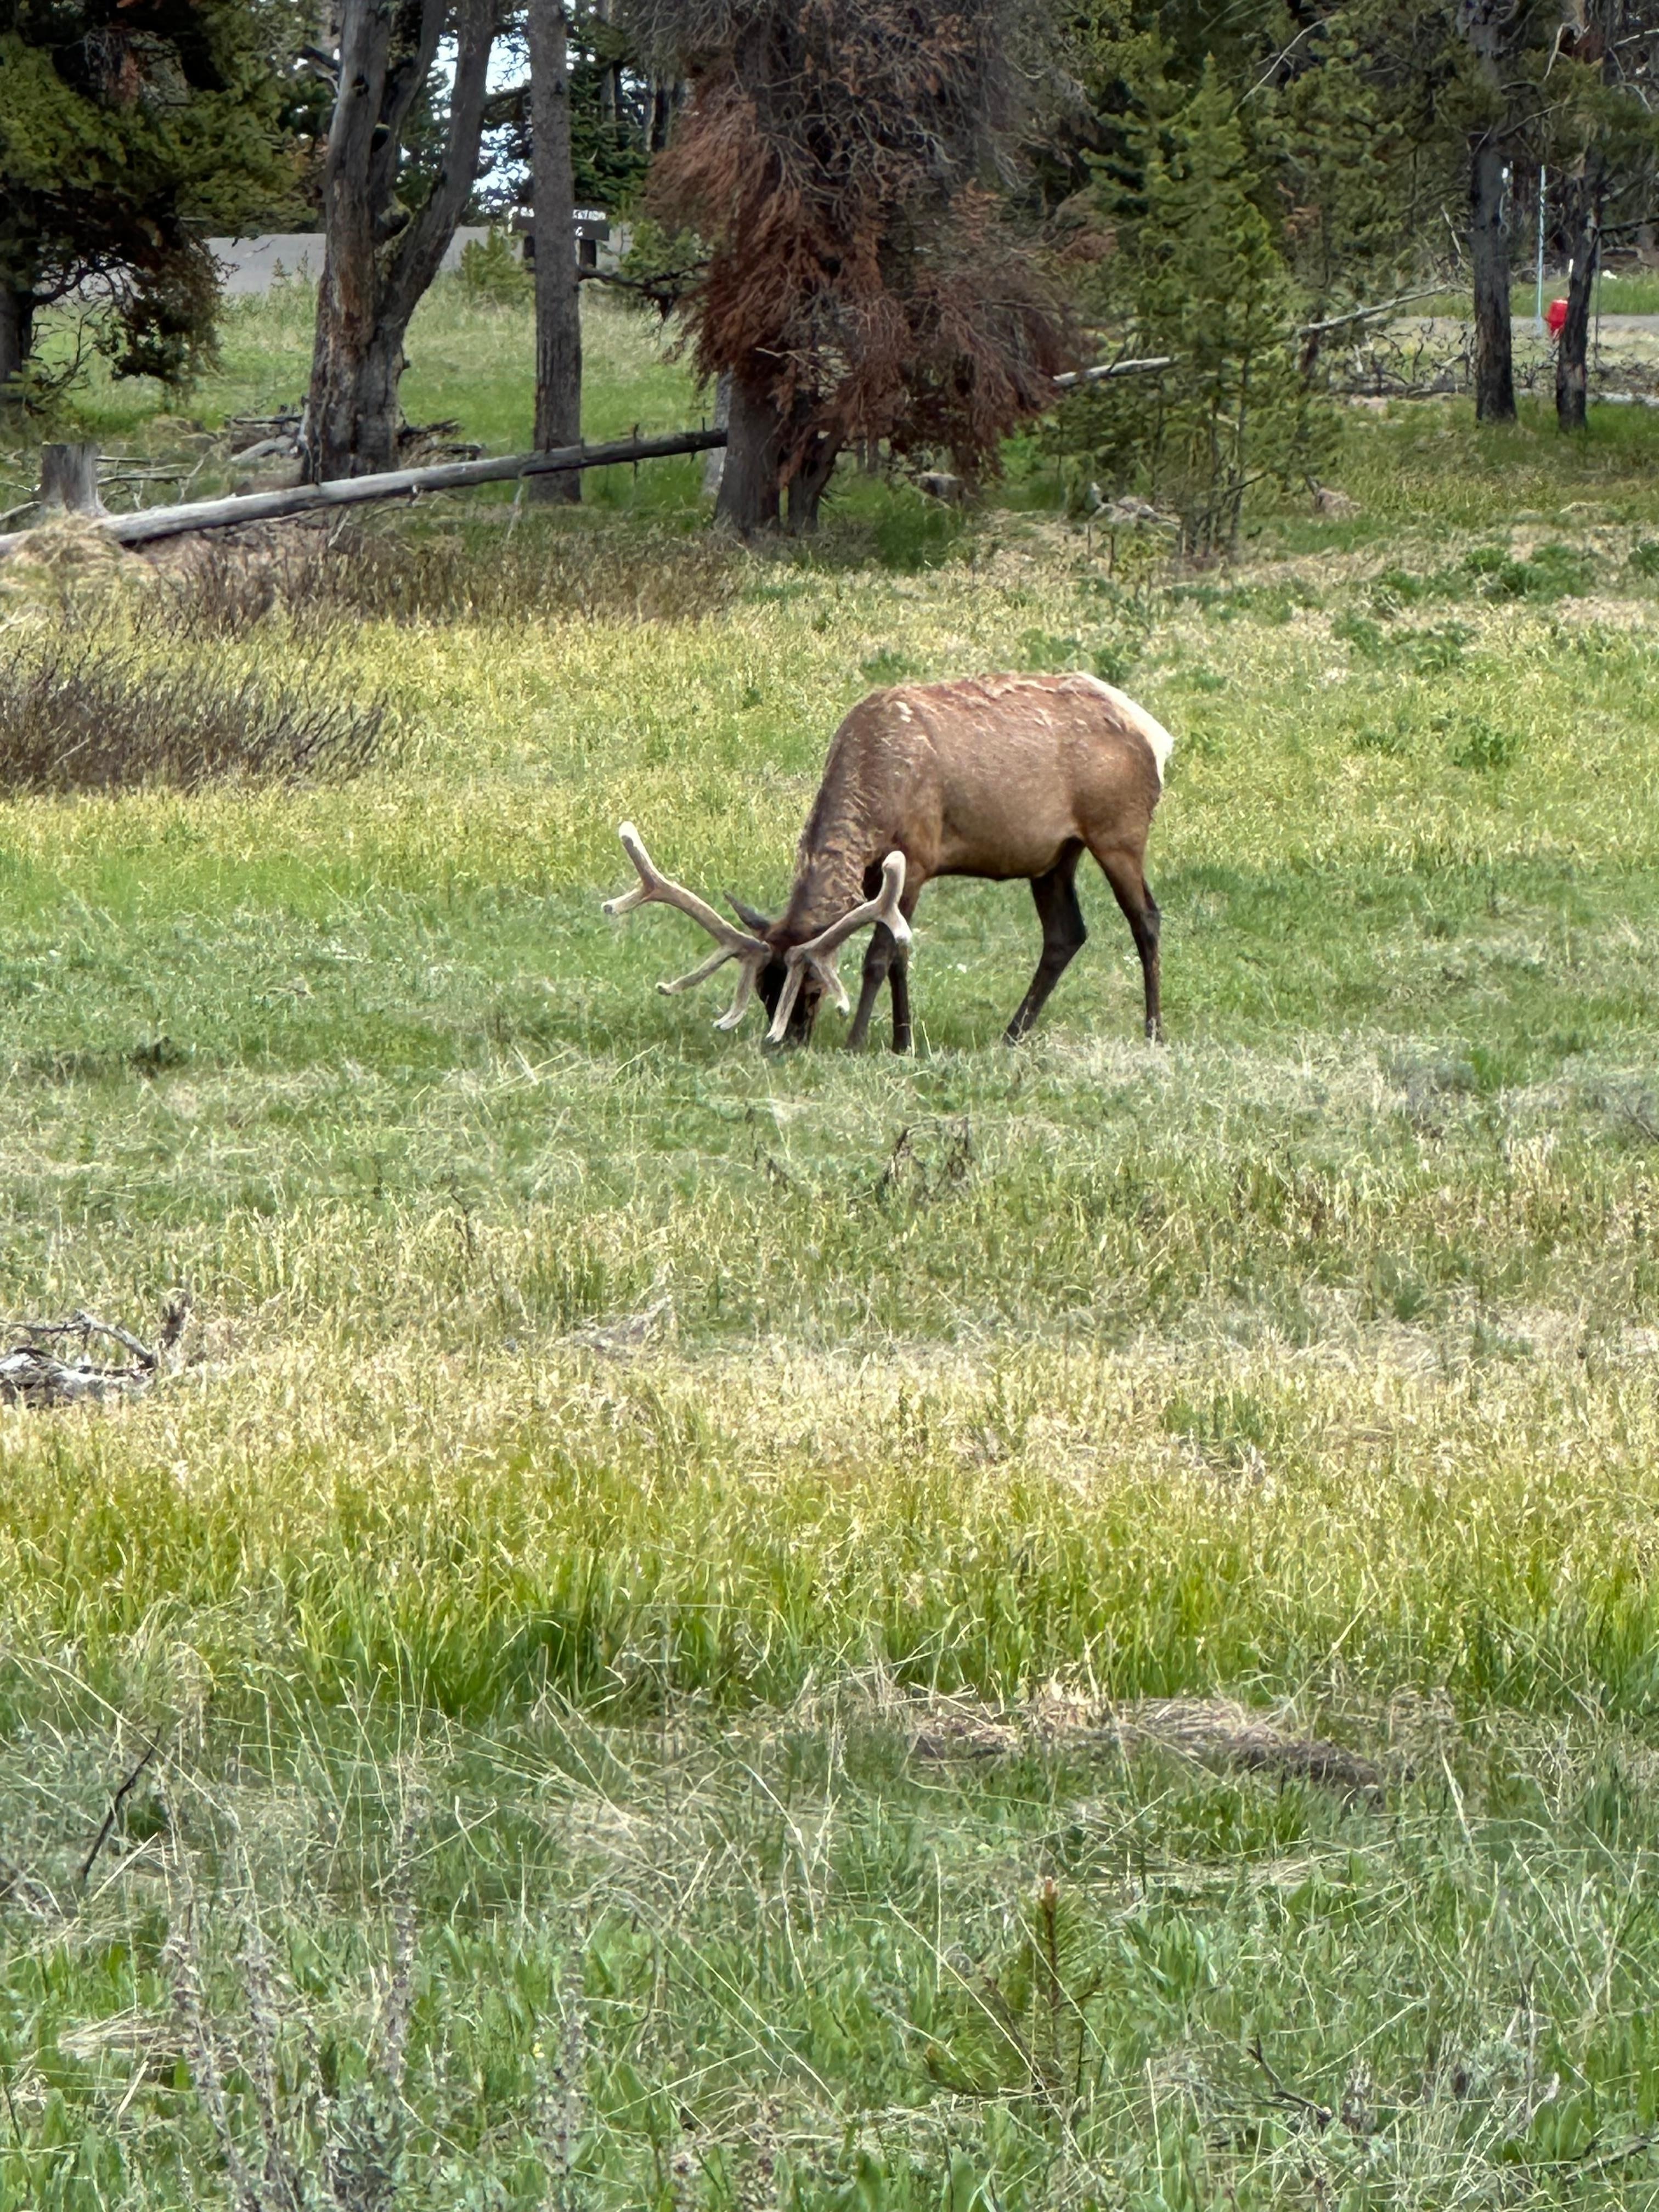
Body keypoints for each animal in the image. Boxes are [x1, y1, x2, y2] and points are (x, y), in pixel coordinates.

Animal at [602, 671, 1173, 1051]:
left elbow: (881, 955)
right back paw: (1011, 1034)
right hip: (1054, 854)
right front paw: (903, 1041)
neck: (876, 787)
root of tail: (1155, 733)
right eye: (764, 988)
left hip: (1119, 831)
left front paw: (858, 1041)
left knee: (1146, 918)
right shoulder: (882, 872)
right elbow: (901, 954)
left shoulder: (916, 858)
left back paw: (1153, 1030)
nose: (789, 1042)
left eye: (813, 985)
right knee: (1065, 933)